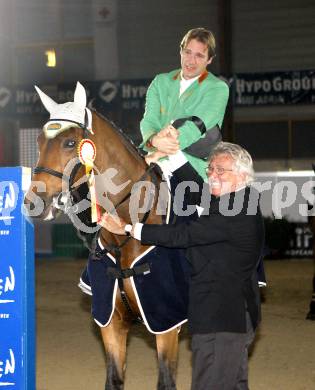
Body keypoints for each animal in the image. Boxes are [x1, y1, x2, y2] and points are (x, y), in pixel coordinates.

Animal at [24, 81, 189, 386]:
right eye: (39, 141)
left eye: (69, 143)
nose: (33, 203)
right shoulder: (111, 324)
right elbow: (114, 378)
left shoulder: (166, 324)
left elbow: (166, 380)